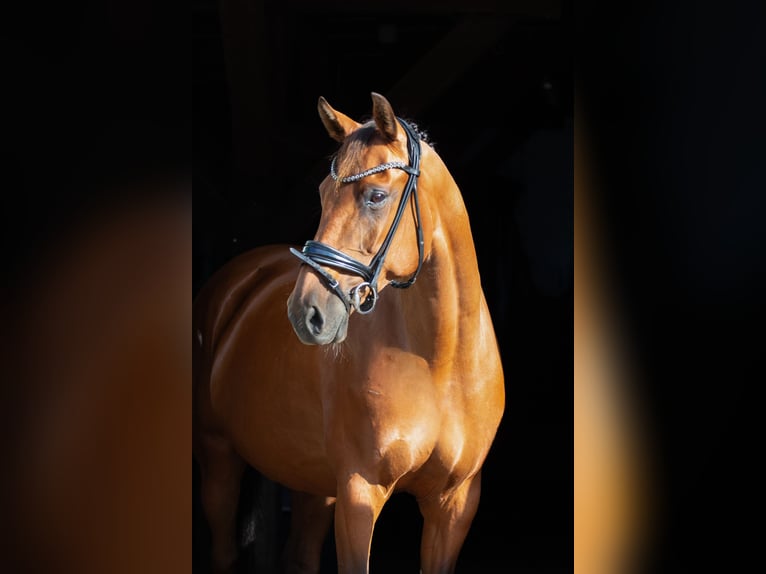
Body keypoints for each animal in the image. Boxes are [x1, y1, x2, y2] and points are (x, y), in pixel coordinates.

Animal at [193, 92, 505, 574]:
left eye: (375, 195)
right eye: (323, 193)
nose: (306, 313)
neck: (440, 362)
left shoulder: (453, 505)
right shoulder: (360, 493)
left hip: (313, 481)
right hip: (218, 454)